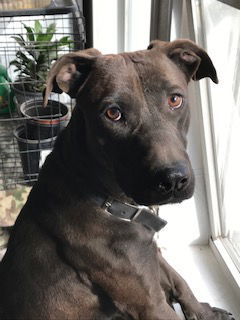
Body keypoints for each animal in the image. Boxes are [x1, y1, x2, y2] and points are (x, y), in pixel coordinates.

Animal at [0, 40, 233, 320]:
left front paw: (203, 311)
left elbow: (178, 278)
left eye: (175, 99)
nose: (174, 180)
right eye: (113, 113)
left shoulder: (150, 254)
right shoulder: (150, 303)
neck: (107, 200)